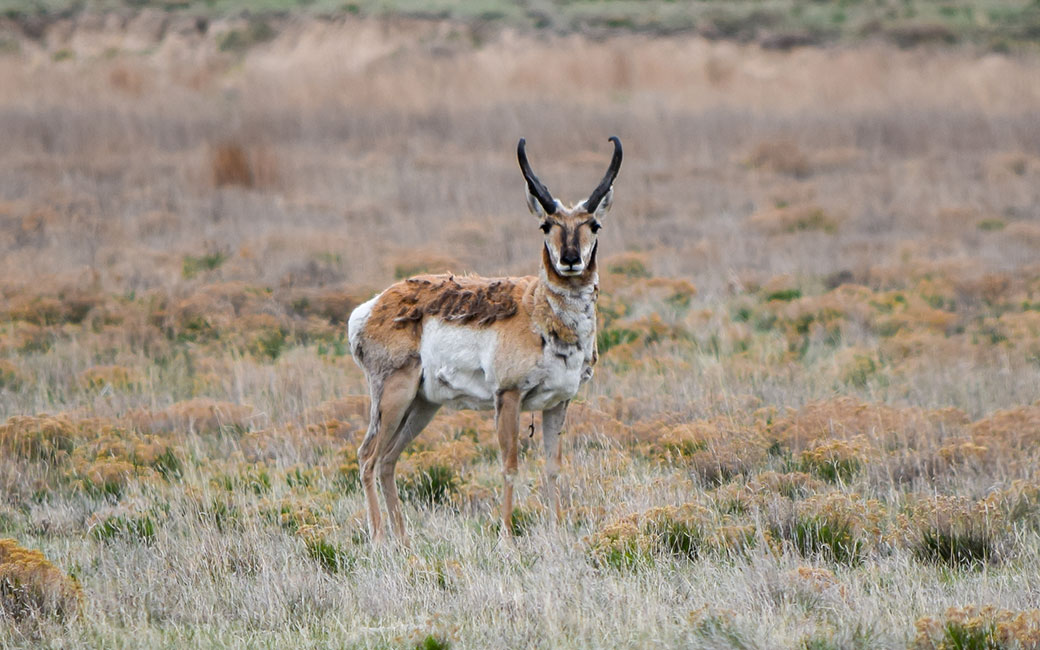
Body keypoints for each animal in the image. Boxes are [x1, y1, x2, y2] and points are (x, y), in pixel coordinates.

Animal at [349, 137, 624, 540]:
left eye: (594, 224)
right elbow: (509, 466)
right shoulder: (507, 398)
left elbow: (553, 467)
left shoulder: (558, 403)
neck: (539, 311)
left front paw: (557, 532)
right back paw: (381, 539)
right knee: (368, 457)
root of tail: (374, 305)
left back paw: (402, 539)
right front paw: (508, 536)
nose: (571, 259)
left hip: (421, 406)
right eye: (546, 224)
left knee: (387, 460)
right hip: (394, 397)